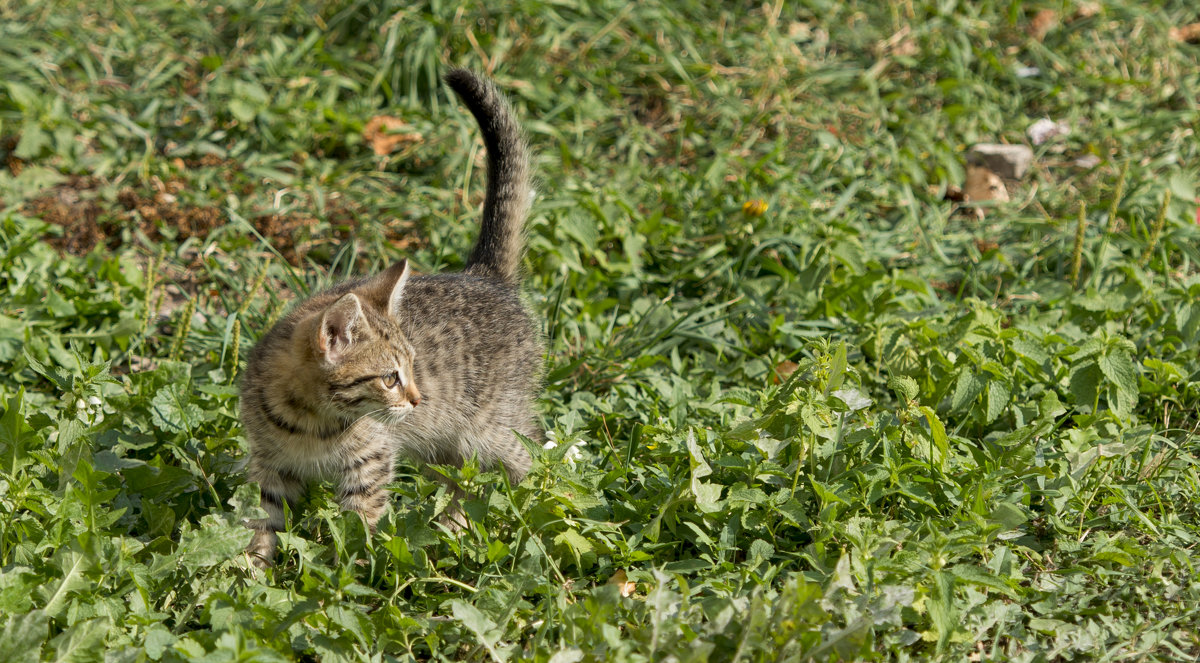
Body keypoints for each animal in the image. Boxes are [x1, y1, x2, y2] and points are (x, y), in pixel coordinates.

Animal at [241, 67, 542, 566]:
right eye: (389, 378)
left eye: (412, 369)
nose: (419, 400)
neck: (311, 421)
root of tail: (484, 276)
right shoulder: (269, 465)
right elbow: (261, 520)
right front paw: (251, 571)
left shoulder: (372, 462)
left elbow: (359, 523)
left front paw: (356, 571)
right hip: (445, 446)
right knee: (460, 484)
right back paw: (451, 528)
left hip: (490, 428)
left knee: (532, 459)